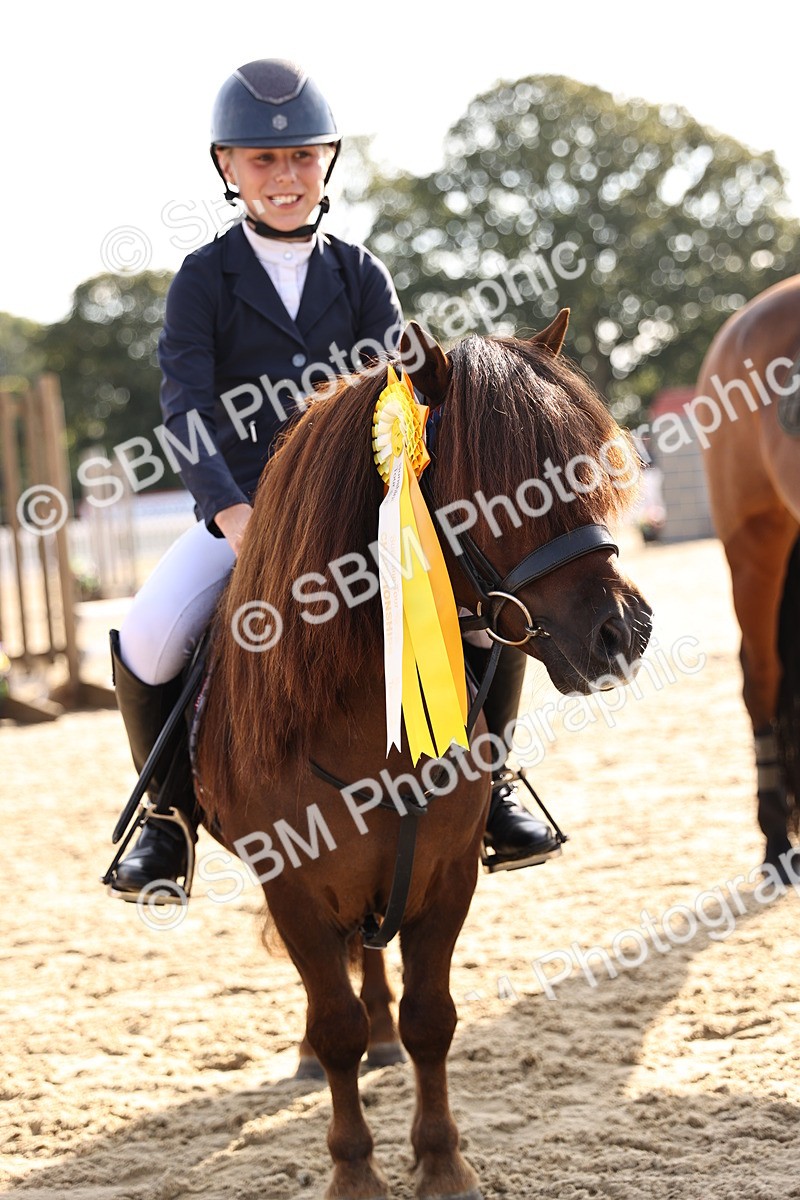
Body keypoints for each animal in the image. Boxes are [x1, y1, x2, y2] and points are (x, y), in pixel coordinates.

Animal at [193, 311, 653, 1200]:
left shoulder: (445, 874)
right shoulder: (293, 889)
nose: (625, 632)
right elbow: (332, 1025)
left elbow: (430, 1020)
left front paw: (442, 1162)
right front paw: (354, 1172)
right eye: (504, 482)